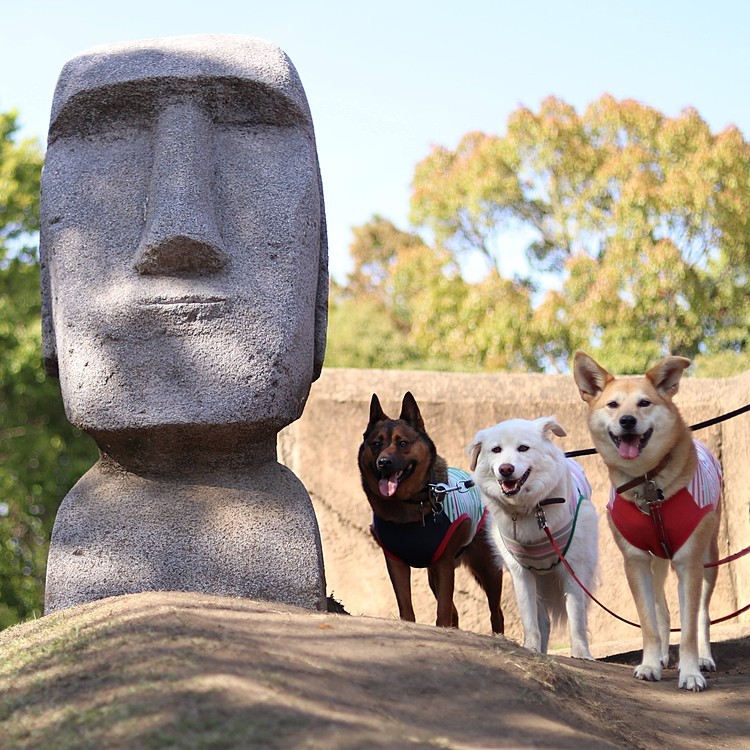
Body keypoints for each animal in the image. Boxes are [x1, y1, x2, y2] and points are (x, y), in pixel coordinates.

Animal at [358, 394, 506, 636]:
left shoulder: (444, 563)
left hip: (486, 567)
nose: (383, 462)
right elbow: (406, 604)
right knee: (455, 611)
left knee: (496, 611)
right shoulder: (396, 562)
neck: (410, 504)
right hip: (433, 575)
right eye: (376, 444)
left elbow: (443, 608)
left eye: (402, 443)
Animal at [470, 420, 600, 660]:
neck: (531, 509)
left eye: (523, 448)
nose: (506, 469)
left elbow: (576, 617)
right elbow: (530, 620)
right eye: (496, 450)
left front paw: (581, 654)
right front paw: (531, 649)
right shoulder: (521, 573)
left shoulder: (573, 567)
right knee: (543, 622)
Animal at [576, 352, 724, 692]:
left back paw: (704, 659)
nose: (627, 420)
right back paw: (661, 657)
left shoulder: (688, 562)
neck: (647, 482)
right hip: (657, 563)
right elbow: (648, 622)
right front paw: (649, 663)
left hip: (709, 557)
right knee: (662, 611)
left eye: (644, 403)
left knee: (702, 615)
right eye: (613, 405)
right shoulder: (636, 561)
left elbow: (689, 628)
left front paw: (690, 672)